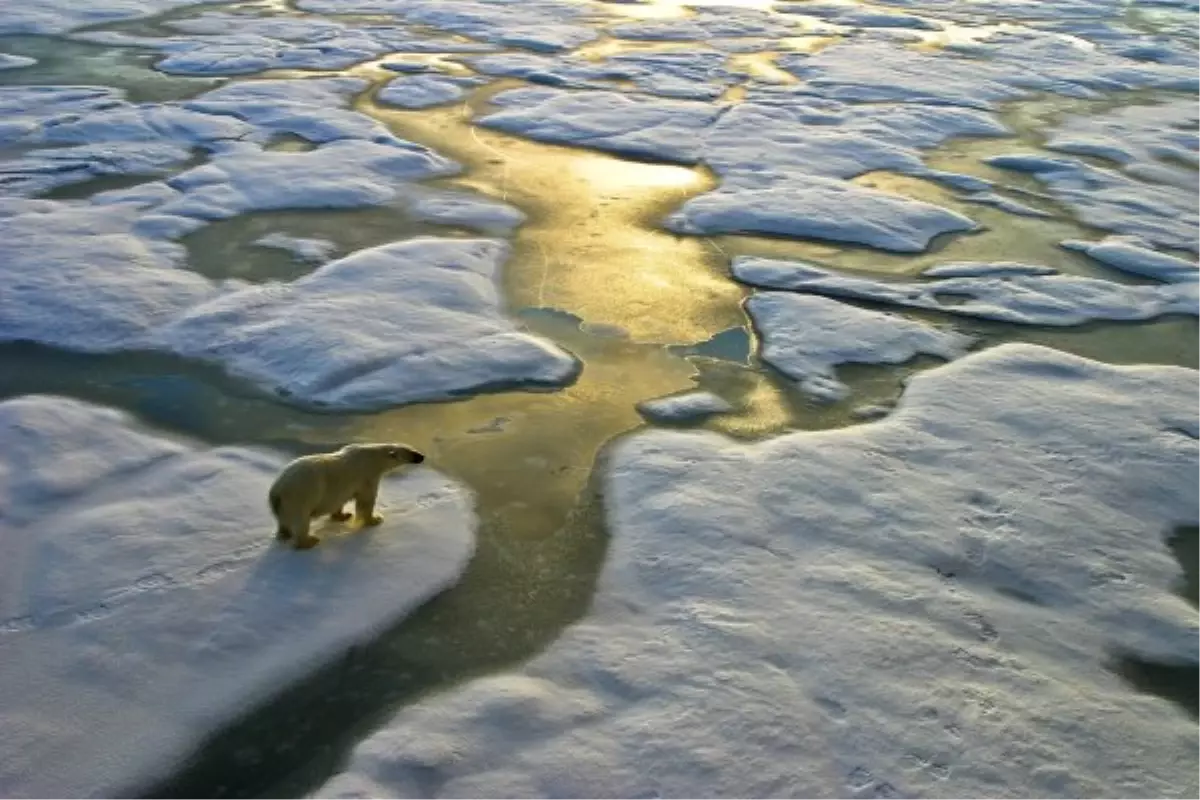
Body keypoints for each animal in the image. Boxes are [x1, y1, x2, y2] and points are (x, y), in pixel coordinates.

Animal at [270, 443, 424, 551]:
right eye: (411, 452)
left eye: (413, 448)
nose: (422, 456)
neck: (373, 457)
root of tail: (276, 490)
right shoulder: (367, 476)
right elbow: (366, 500)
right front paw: (375, 519)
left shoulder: (342, 488)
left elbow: (339, 501)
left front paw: (343, 515)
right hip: (300, 496)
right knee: (301, 520)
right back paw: (309, 541)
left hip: (283, 505)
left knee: (283, 521)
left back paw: (284, 534)